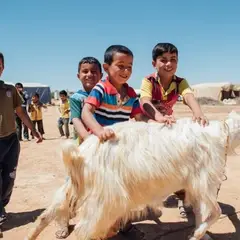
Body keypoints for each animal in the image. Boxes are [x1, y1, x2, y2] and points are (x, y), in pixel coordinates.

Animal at [24, 110, 240, 240]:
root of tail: (81, 153)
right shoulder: (204, 180)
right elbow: (215, 211)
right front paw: (197, 234)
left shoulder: (197, 184)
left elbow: (202, 212)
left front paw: (199, 233)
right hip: (105, 198)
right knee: (82, 230)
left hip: (80, 189)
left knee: (48, 214)